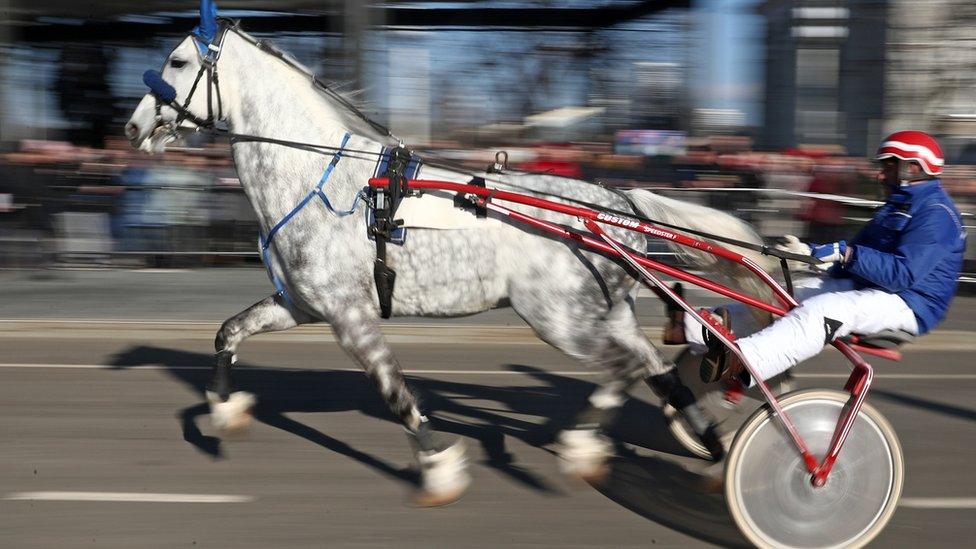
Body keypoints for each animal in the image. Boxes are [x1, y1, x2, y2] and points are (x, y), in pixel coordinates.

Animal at [124, 7, 776, 506]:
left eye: (177, 62)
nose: (133, 126)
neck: (320, 176)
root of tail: (619, 204)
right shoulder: (302, 304)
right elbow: (228, 333)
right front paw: (224, 414)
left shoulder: (349, 314)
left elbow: (393, 389)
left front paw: (438, 468)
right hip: (603, 313)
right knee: (653, 367)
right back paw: (708, 445)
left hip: (559, 320)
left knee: (623, 368)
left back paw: (583, 451)